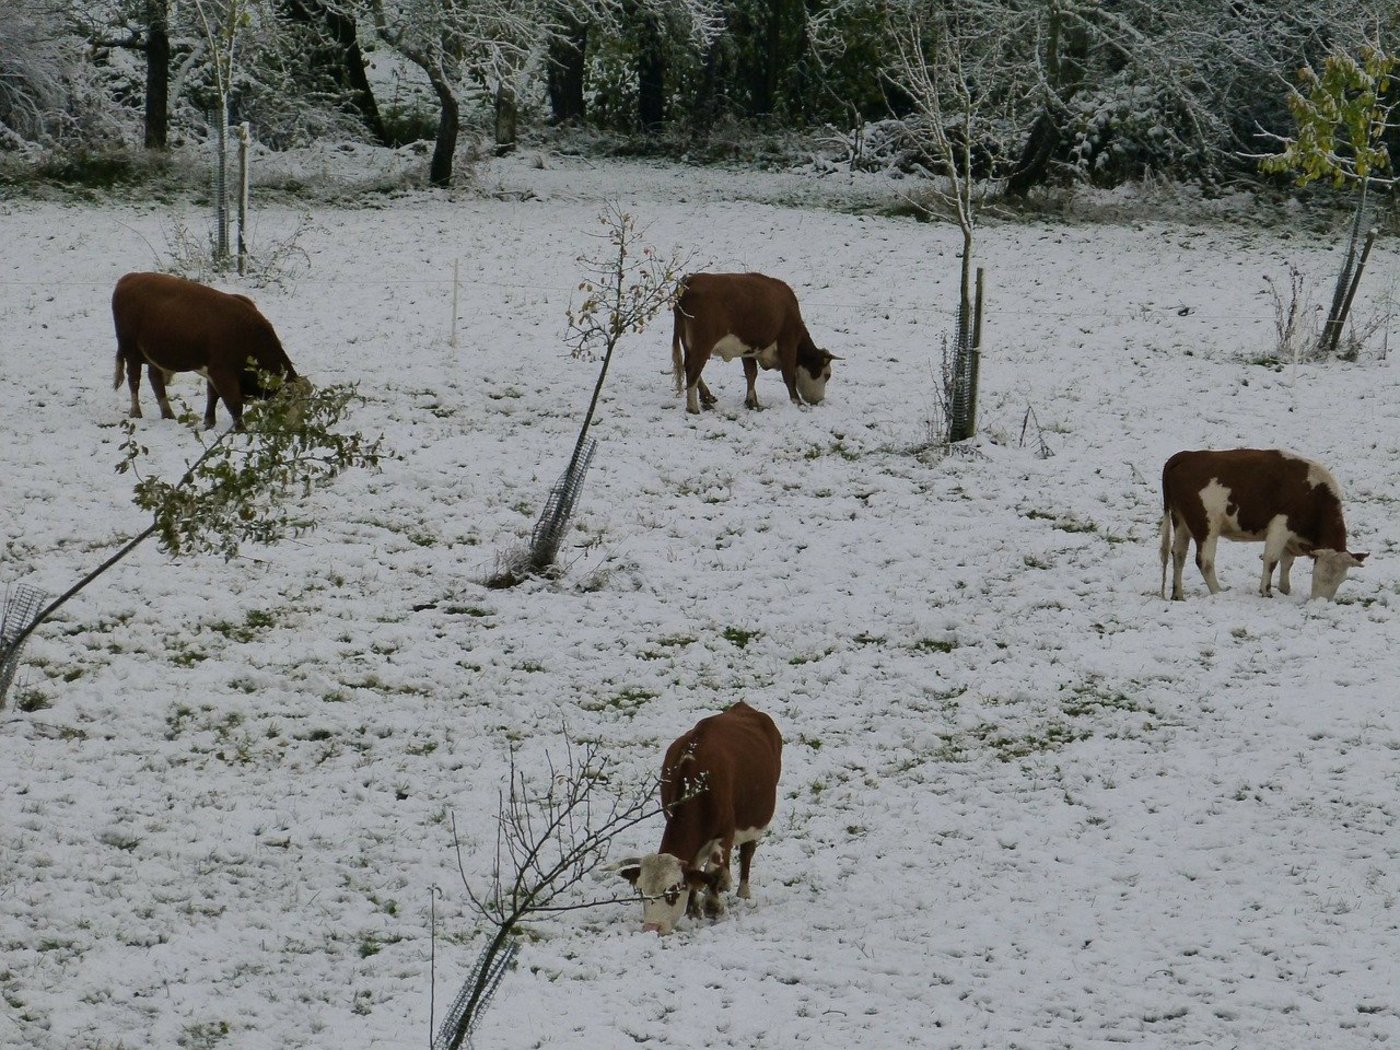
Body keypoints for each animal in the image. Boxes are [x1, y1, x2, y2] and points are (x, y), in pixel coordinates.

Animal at [112, 271, 305, 430]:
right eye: (290, 402)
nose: (299, 427)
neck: (246, 335)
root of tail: (129, 278)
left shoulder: (214, 373)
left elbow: (213, 397)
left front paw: (209, 422)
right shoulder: (221, 372)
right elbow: (233, 403)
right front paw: (240, 429)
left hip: (154, 354)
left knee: (155, 380)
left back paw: (168, 413)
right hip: (131, 350)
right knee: (134, 380)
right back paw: (136, 412)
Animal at [614, 702, 782, 935]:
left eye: (673, 890)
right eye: (641, 891)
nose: (652, 927)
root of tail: (742, 707)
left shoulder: (725, 833)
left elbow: (713, 869)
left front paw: (713, 906)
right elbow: (695, 869)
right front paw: (693, 909)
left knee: (747, 851)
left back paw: (743, 891)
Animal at [671, 272, 838, 415]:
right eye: (827, 375)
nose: (819, 401)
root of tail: (691, 281)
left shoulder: (748, 348)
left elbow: (751, 373)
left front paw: (752, 401)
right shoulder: (788, 342)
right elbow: (789, 374)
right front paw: (797, 402)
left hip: (689, 343)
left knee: (689, 367)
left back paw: (706, 397)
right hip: (703, 343)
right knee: (693, 368)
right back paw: (693, 407)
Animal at [1160, 448, 1367, 601]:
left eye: (1341, 579)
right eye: (1317, 574)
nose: (1320, 603)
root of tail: (1186, 455)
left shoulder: (1291, 537)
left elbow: (1287, 562)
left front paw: (1285, 589)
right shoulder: (1281, 525)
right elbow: (1271, 559)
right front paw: (1266, 592)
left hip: (1181, 522)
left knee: (1178, 554)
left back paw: (1178, 594)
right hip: (1206, 525)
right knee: (1204, 560)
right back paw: (1218, 592)